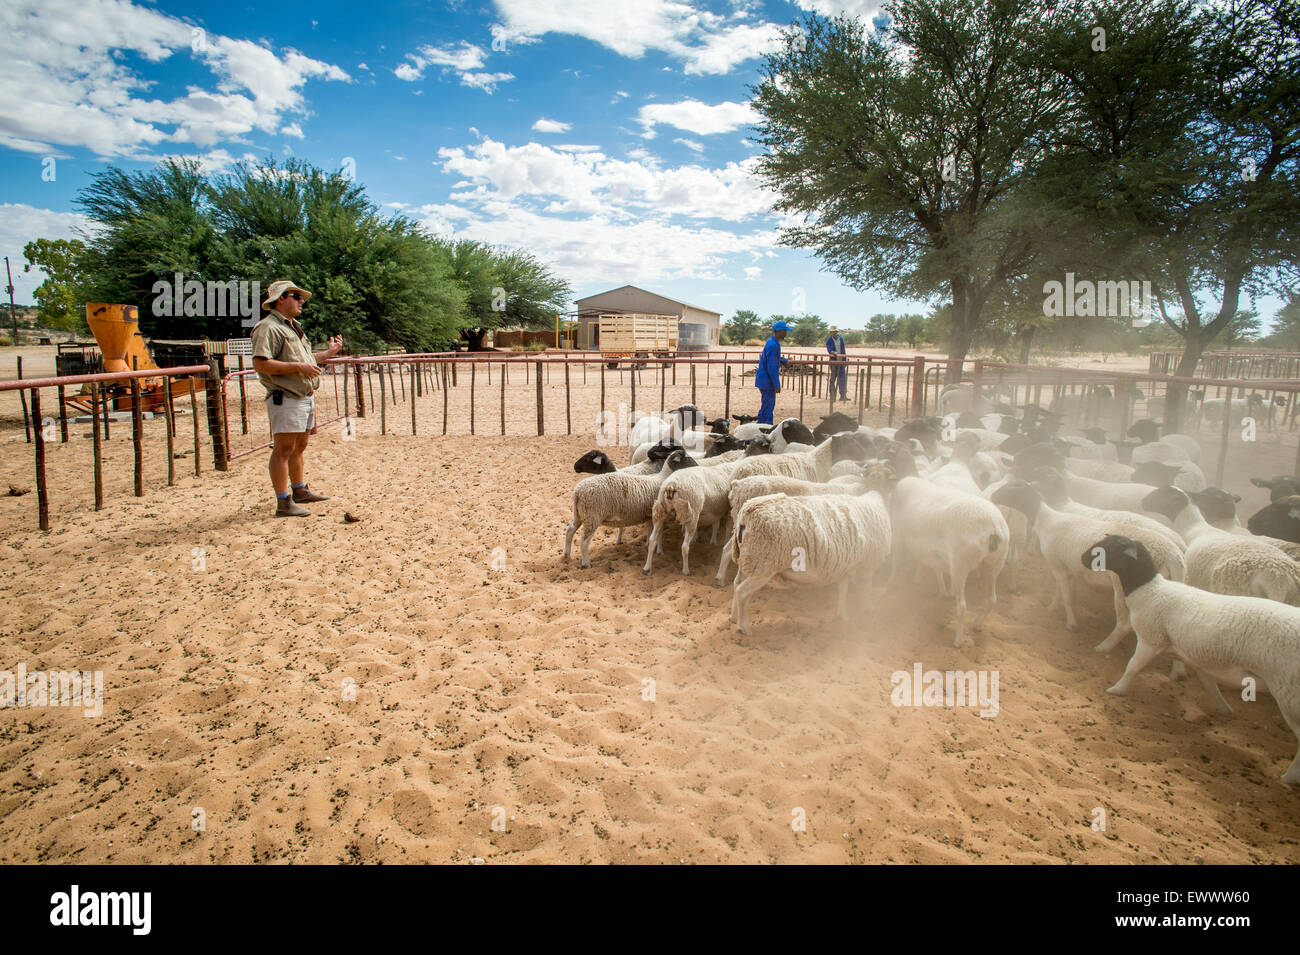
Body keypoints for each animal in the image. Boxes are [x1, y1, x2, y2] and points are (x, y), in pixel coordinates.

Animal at [565, 454, 693, 568]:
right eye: (686, 458)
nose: (695, 465)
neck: (661, 478)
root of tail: (577, 492)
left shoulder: (649, 515)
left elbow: (651, 532)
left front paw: (649, 545)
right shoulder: (659, 514)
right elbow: (659, 533)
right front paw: (660, 551)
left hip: (579, 514)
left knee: (570, 530)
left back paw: (566, 554)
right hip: (592, 517)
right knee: (584, 541)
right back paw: (586, 563)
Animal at [729, 468, 895, 635]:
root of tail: (746, 513)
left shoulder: (845, 564)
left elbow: (843, 589)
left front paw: (843, 615)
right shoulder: (869, 563)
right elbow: (866, 588)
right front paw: (868, 608)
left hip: (749, 560)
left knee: (736, 584)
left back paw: (734, 617)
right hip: (763, 565)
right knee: (743, 592)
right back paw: (744, 628)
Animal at [889, 475, 1009, 648]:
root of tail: (993, 528)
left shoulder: (898, 532)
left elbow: (897, 560)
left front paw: (891, 584)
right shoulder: (933, 552)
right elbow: (936, 568)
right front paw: (943, 591)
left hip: (960, 564)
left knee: (962, 607)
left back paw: (958, 641)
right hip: (995, 563)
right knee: (991, 599)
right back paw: (977, 625)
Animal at [991, 482, 1186, 652]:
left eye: (1013, 488)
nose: (993, 496)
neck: (1047, 520)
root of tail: (1173, 555)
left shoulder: (1057, 565)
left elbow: (1067, 596)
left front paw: (1071, 624)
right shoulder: (1065, 567)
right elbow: (1061, 591)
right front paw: (1052, 607)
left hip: (1123, 586)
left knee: (1124, 625)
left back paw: (1102, 647)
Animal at [1085, 534, 1300, 785]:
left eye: (1109, 548)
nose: (1082, 558)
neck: (1150, 590)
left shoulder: (1151, 639)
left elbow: (1132, 667)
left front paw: (1117, 689)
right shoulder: (1197, 657)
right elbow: (1208, 684)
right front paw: (1225, 710)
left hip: (1289, 693)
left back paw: (1289, 777)